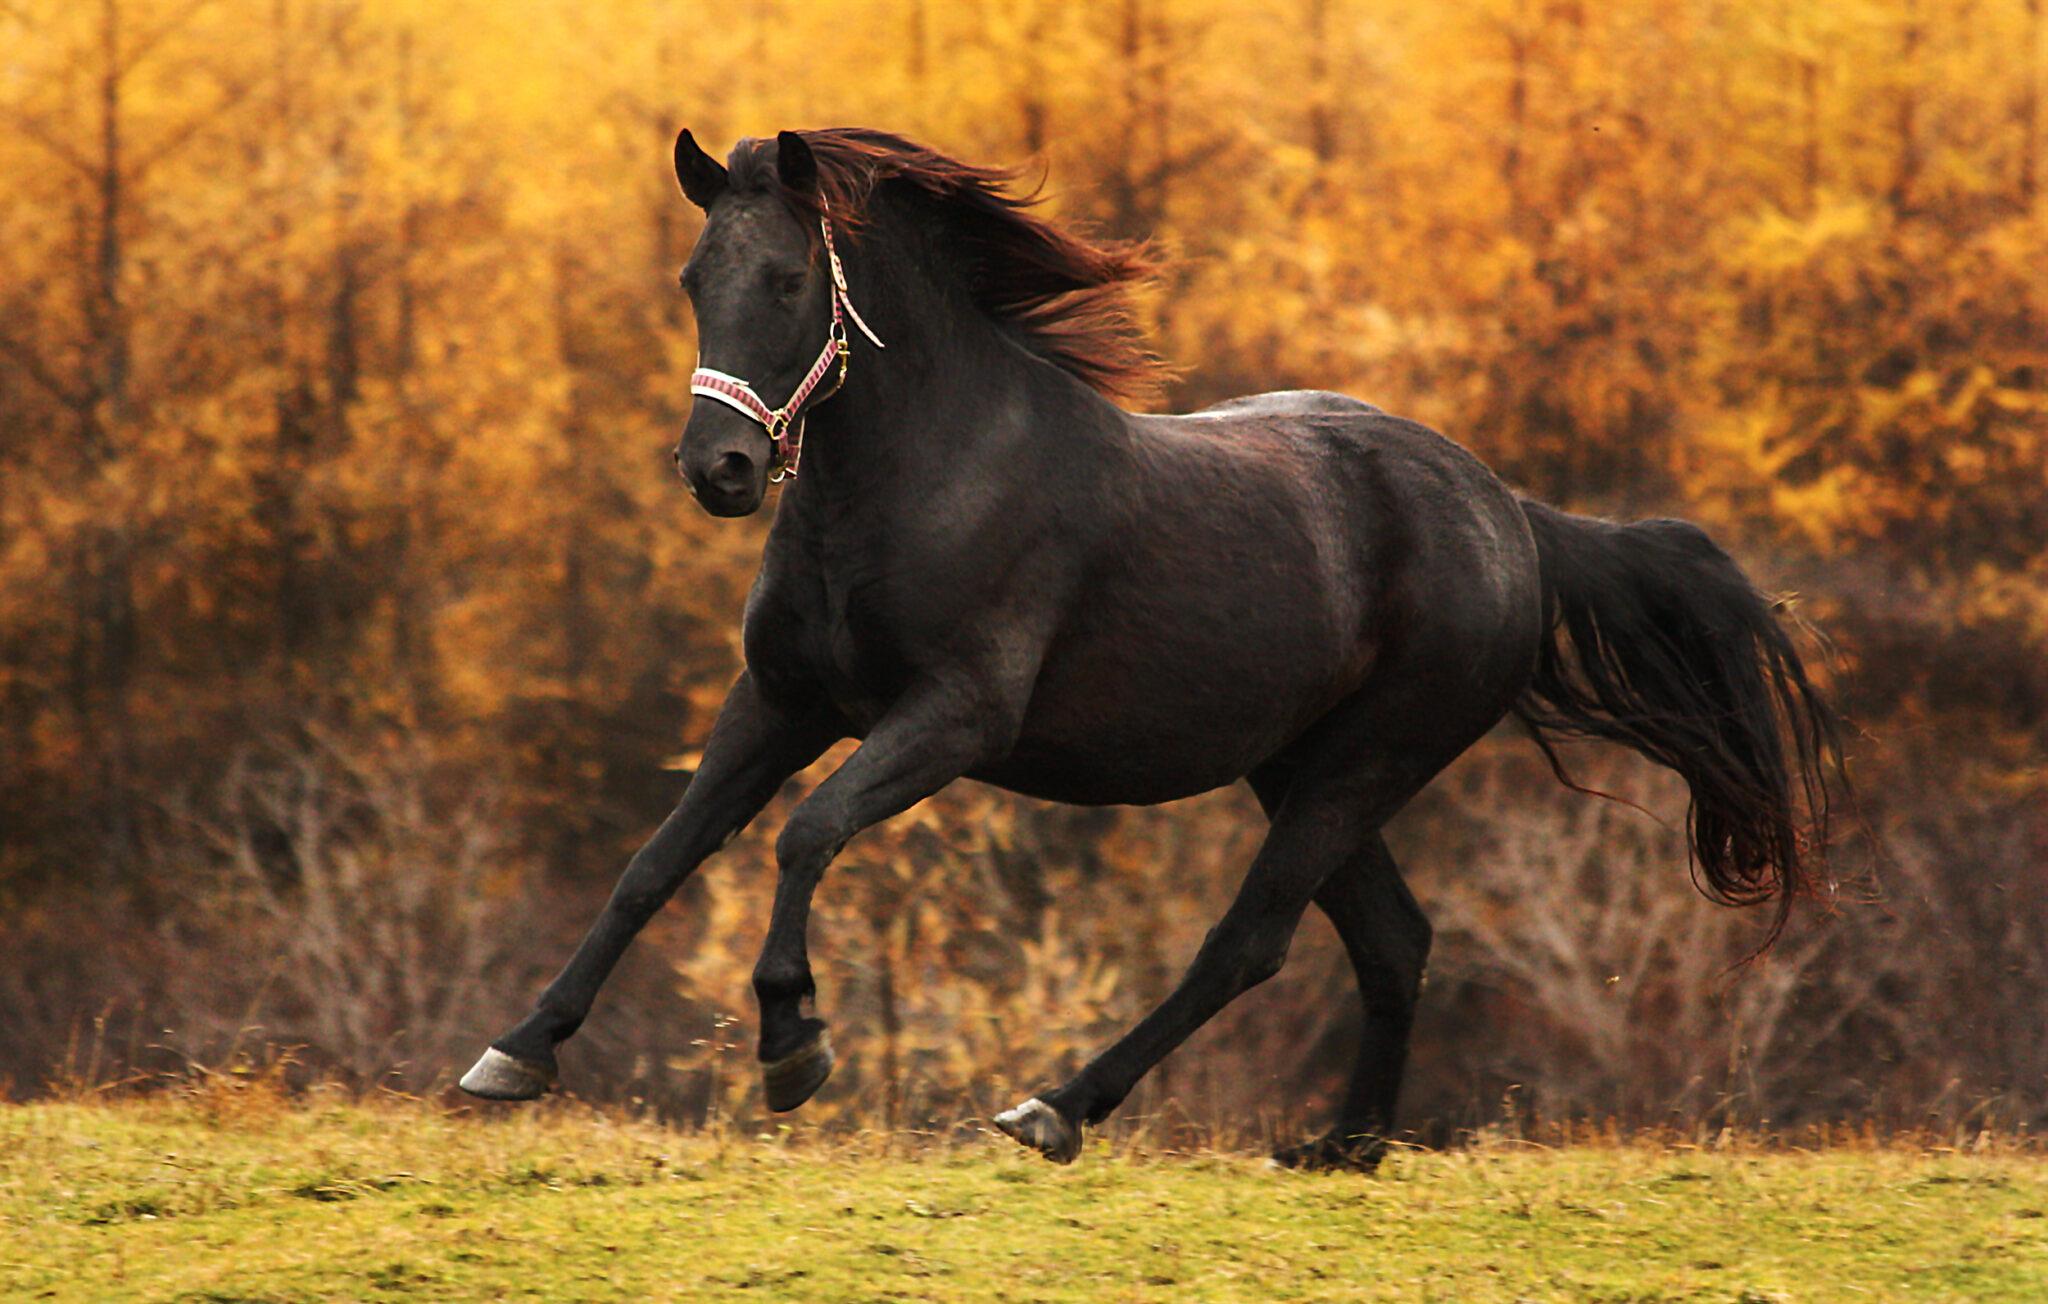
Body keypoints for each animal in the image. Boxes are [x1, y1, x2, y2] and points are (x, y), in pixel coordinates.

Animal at [460, 129, 1843, 1170]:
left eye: (791, 280)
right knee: (1391, 939)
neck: (923, 475)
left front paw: (794, 1044)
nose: (721, 470)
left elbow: (805, 833)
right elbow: (656, 861)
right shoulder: (779, 701)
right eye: (696, 278)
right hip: (1301, 767)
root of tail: (1511, 516)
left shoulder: (953, 716)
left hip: (1362, 763)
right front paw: (515, 1050)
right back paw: (1338, 1146)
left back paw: (1055, 1107)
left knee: (1251, 941)